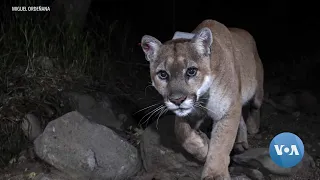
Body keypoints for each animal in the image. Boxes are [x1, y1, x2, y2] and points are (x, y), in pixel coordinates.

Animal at [141, 19, 264, 179]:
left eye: (191, 71)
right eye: (163, 74)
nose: (177, 100)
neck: (203, 98)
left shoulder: (228, 110)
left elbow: (221, 144)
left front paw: (215, 174)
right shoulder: (189, 113)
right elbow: (181, 131)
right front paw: (203, 147)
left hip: (256, 90)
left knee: (255, 106)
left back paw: (253, 127)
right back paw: (240, 143)